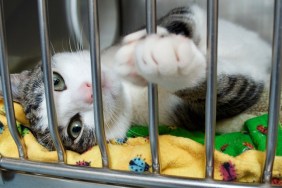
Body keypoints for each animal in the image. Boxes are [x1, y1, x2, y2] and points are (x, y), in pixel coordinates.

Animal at [1, 5, 272, 153]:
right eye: (75, 129)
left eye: (56, 81)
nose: (89, 91)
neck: (131, 91)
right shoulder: (186, 116)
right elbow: (226, 94)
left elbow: (178, 18)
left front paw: (150, 46)